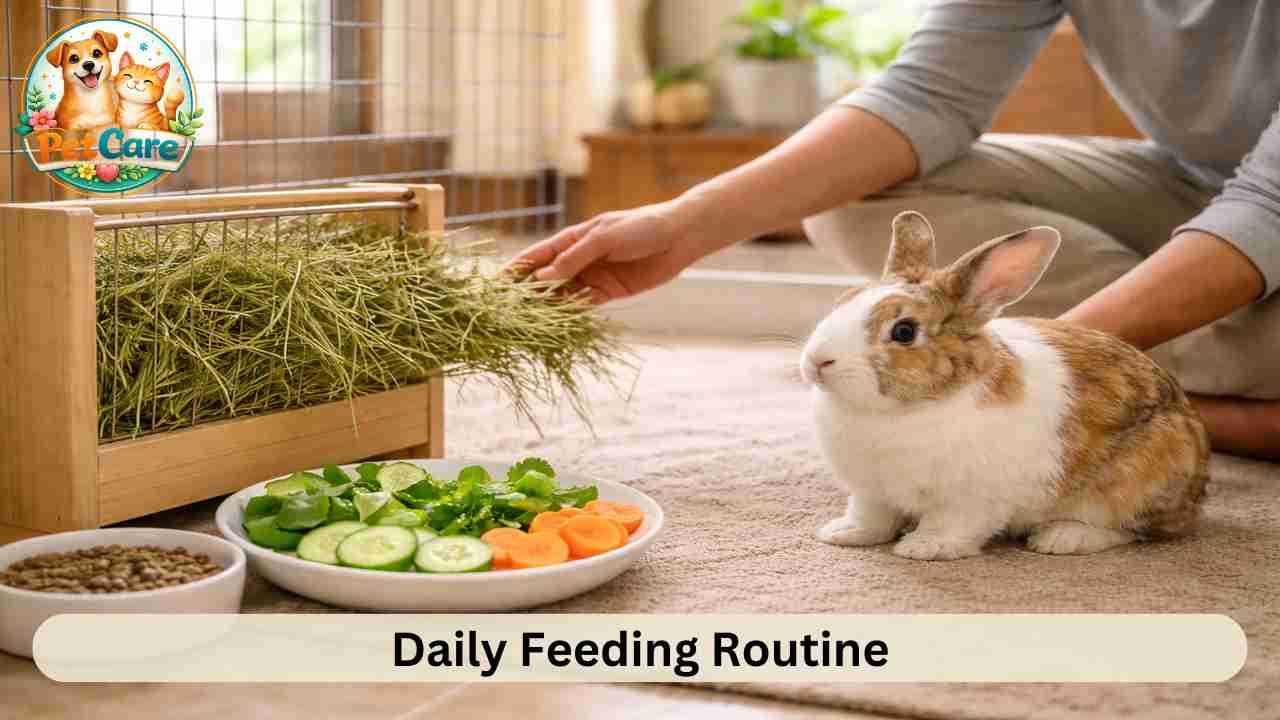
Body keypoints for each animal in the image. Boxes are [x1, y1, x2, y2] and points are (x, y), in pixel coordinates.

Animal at [801, 211, 1208, 560]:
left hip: (1132, 482)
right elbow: (871, 516)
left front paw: (926, 547)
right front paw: (844, 533)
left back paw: (1062, 538)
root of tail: (1198, 486)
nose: (818, 360)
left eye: (904, 331)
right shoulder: (871, 491)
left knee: (1130, 528)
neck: (902, 409)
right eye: (842, 301)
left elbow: (951, 522)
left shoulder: (969, 496)